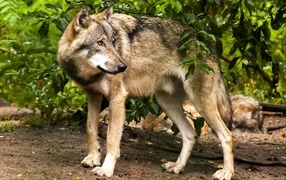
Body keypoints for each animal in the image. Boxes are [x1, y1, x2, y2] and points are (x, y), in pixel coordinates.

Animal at [57, 6, 235, 179]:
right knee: (191, 134)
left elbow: (111, 138)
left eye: (114, 42)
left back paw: (226, 172)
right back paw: (177, 167)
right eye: (100, 42)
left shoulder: (118, 97)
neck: (88, 73)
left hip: (200, 103)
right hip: (166, 103)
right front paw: (93, 158)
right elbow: (90, 128)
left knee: (227, 135)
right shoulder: (93, 95)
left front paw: (106, 169)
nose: (123, 66)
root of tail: (207, 42)